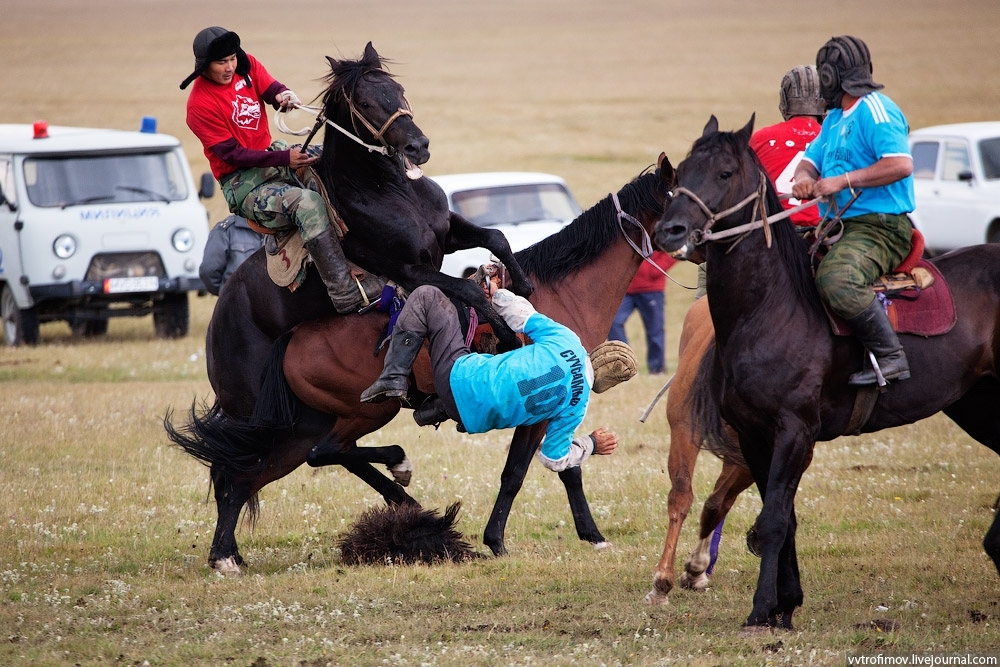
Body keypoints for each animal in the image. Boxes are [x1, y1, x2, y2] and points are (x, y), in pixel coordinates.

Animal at [652, 116, 1000, 636]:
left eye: (724, 173)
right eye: (681, 172)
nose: (670, 230)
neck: (772, 308)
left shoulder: (794, 431)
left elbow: (774, 519)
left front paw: (761, 610)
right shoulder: (756, 436)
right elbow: (782, 517)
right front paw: (784, 607)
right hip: (978, 404)